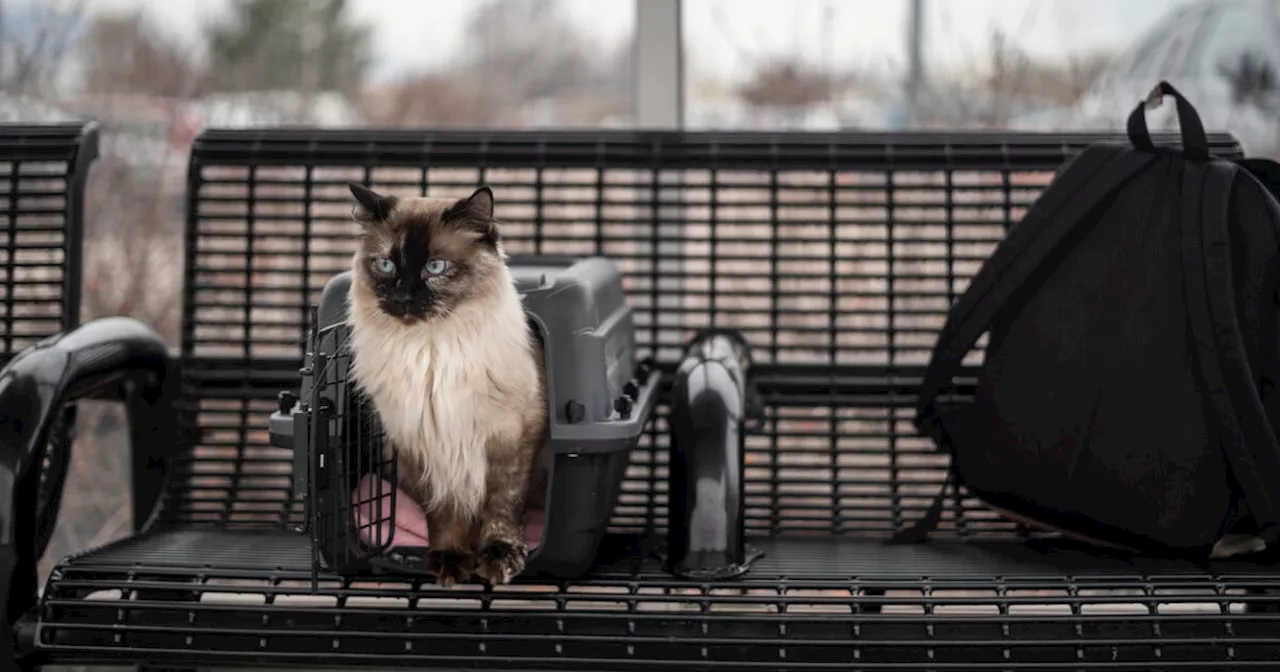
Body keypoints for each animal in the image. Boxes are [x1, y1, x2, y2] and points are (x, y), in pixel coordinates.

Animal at [345, 183, 550, 586]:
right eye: (387, 265)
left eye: (435, 267)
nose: (404, 297)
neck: (431, 352)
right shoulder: (424, 447)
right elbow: (444, 515)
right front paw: (452, 562)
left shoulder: (513, 440)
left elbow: (502, 506)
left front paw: (497, 558)